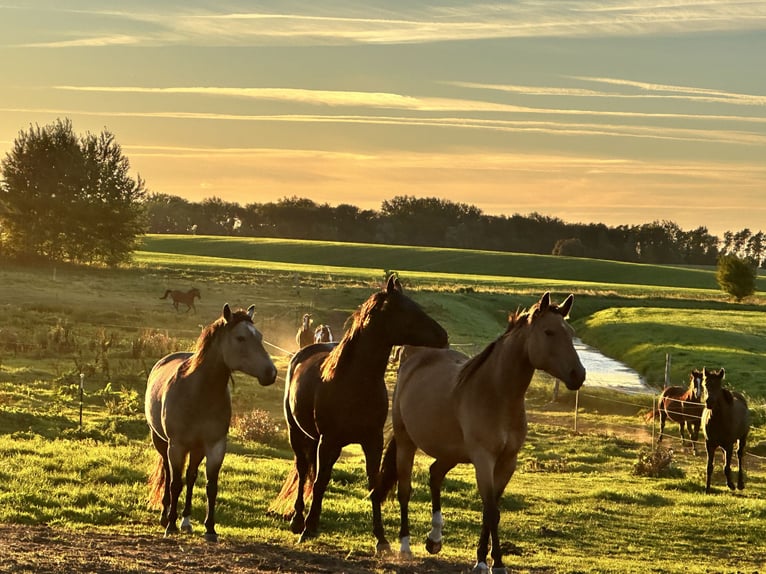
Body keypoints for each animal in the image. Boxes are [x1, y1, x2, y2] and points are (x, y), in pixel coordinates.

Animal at [145, 303, 277, 541]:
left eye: (260, 337)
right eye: (240, 338)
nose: (271, 373)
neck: (199, 393)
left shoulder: (215, 445)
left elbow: (210, 486)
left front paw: (210, 528)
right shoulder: (176, 446)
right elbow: (175, 483)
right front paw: (170, 525)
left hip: (197, 448)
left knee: (190, 477)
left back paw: (186, 521)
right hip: (161, 443)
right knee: (169, 476)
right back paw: (166, 515)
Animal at [272, 275, 448, 551]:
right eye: (406, 310)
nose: (443, 336)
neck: (355, 381)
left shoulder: (372, 441)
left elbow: (373, 485)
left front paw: (381, 538)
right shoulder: (328, 441)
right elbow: (319, 481)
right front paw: (308, 529)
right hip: (298, 434)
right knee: (303, 471)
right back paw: (298, 520)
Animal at [374, 292, 586, 574]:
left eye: (570, 333)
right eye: (549, 332)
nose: (578, 374)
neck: (496, 394)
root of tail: (414, 359)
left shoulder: (507, 462)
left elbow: (491, 509)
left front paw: (486, 559)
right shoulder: (484, 460)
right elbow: (491, 511)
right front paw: (492, 563)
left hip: (451, 453)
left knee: (435, 475)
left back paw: (435, 539)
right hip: (407, 442)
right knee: (405, 490)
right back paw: (405, 546)